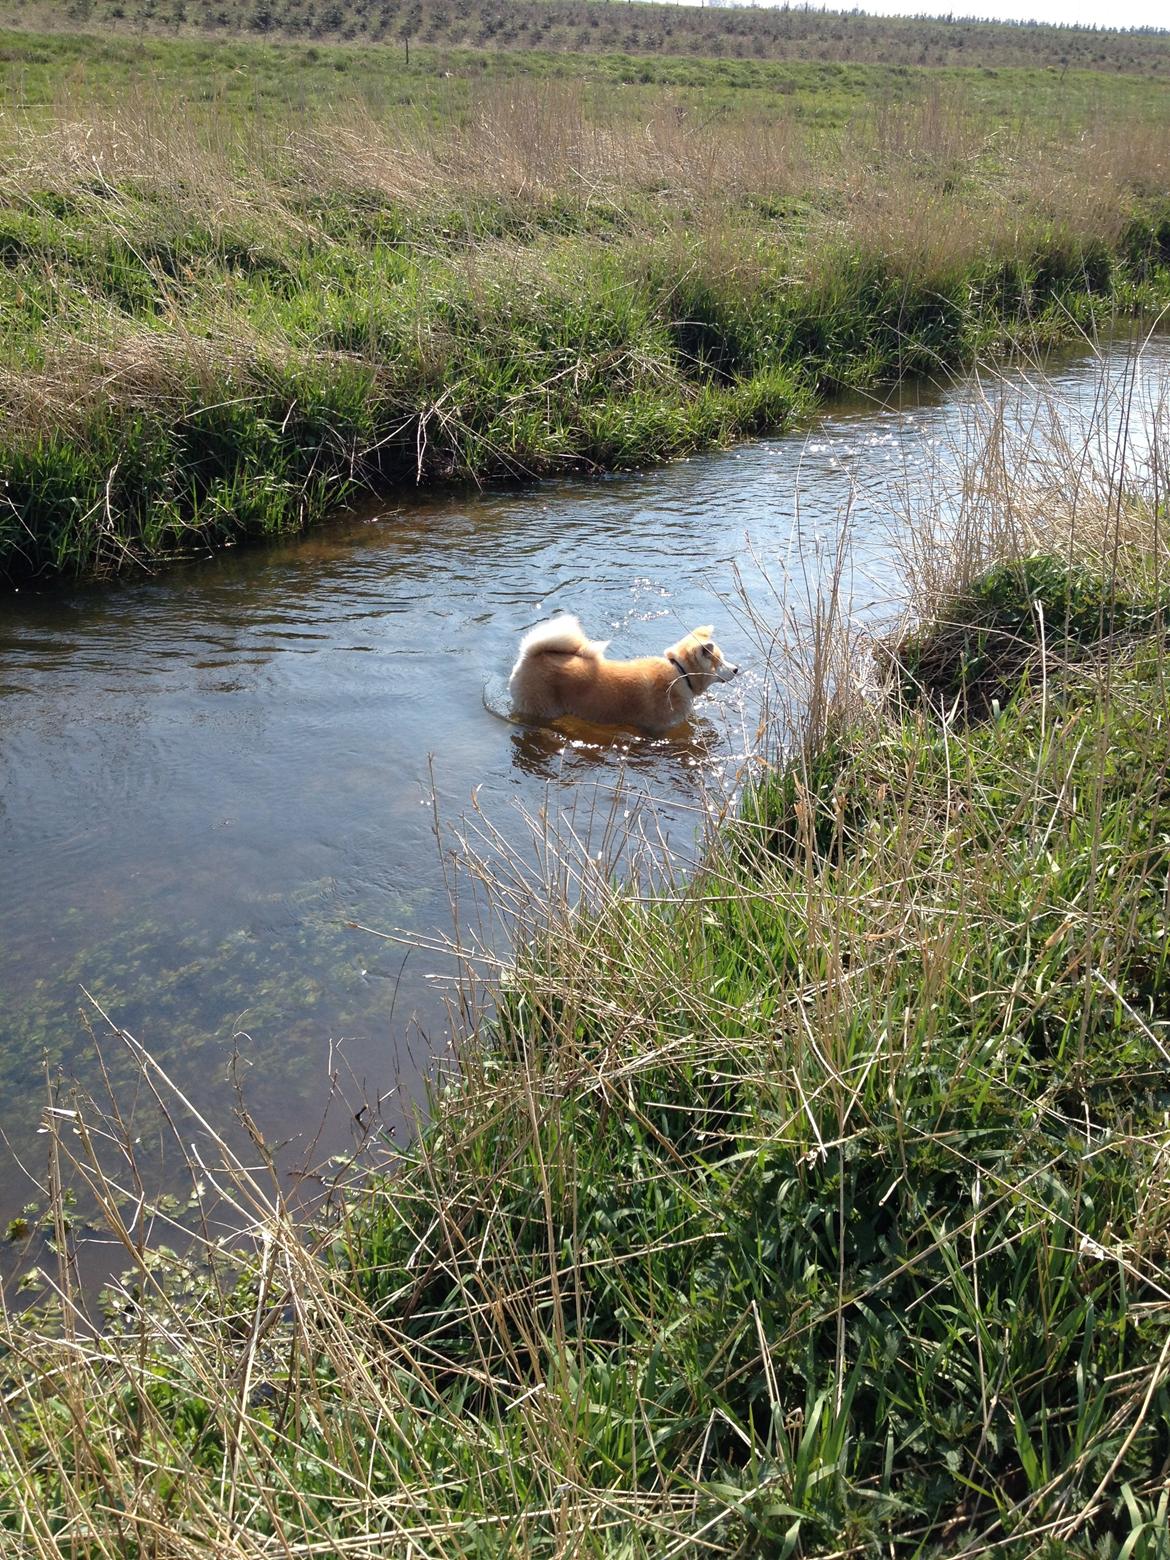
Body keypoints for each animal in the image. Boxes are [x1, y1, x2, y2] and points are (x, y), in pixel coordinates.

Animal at [508, 611, 736, 733]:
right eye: (720, 661)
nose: (736, 668)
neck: (681, 673)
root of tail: (530, 654)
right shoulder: (657, 729)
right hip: (541, 709)